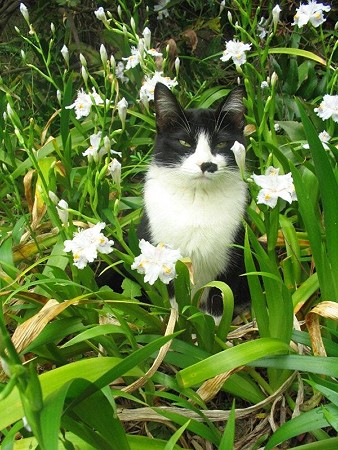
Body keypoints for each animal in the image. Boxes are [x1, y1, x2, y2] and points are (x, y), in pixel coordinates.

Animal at [138, 81, 251, 320]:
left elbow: (219, 300)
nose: (207, 164)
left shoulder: (232, 261)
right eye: (184, 142)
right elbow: (175, 302)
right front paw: (178, 325)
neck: (197, 198)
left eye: (222, 143)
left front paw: (215, 329)